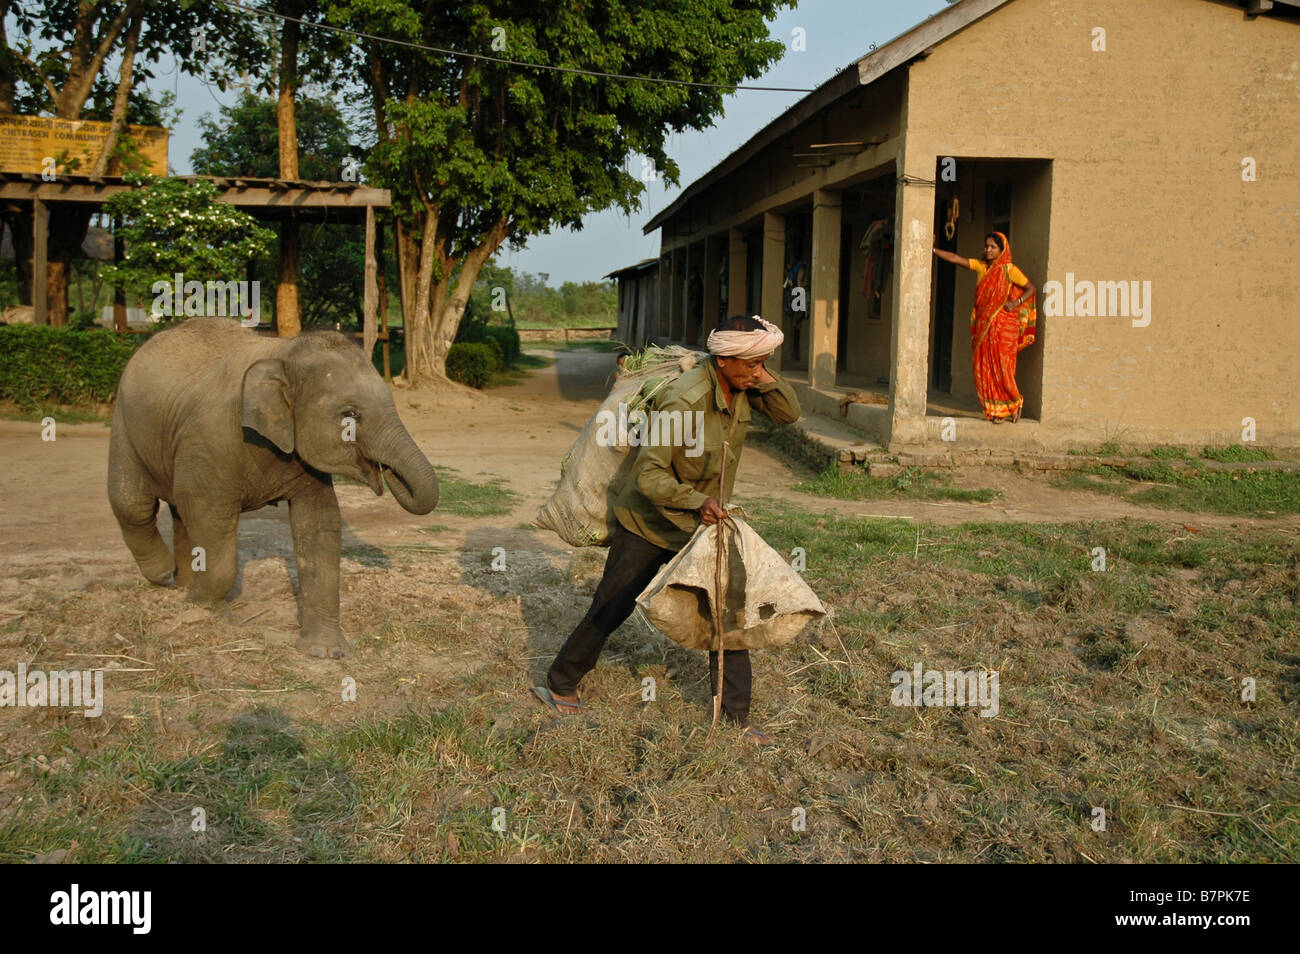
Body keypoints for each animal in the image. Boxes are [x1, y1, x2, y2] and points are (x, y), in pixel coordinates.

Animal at [107, 319, 441, 657]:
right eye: (350, 414)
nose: (388, 473)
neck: (283, 351)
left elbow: (319, 524)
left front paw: (326, 651)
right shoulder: (211, 440)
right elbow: (208, 516)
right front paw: (204, 609)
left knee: (177, 514)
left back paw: (183, 583)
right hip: (125, 424)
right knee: (133, 504)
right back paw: (163, 574)